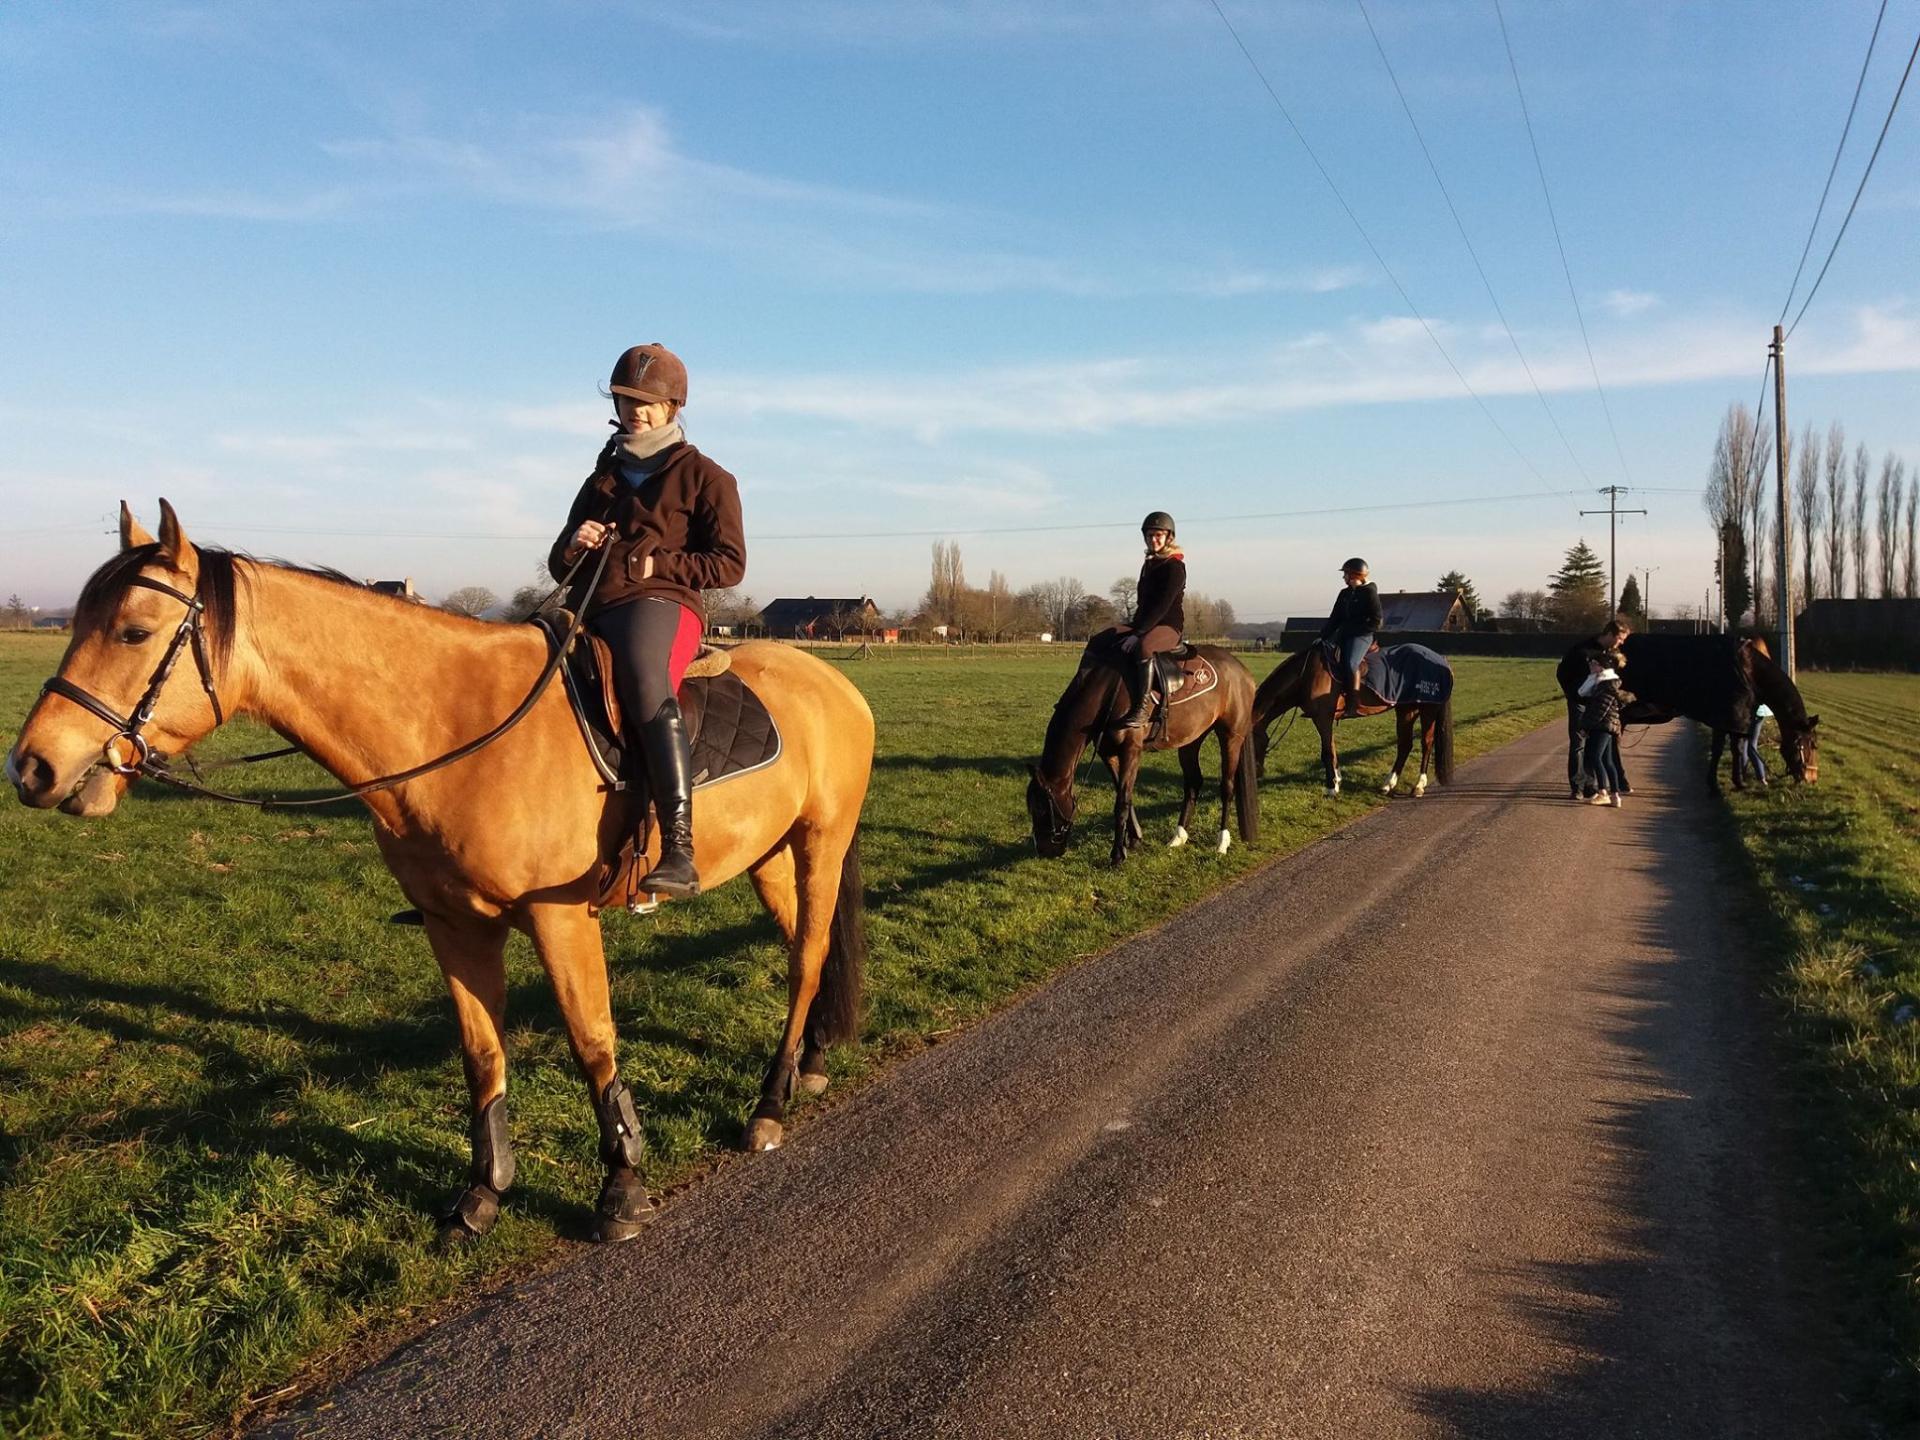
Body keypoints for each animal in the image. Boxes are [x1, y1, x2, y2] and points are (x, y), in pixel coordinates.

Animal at [5, 506, 879, 1251]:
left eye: (134, 630)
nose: (32, 768)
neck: (457, 726)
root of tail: (836, 685)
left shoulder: (562, 920)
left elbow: (593, 1042)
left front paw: (622, 1189)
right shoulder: (456, 926)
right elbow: (482, 1055)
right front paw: (483, 1195)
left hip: (819, 843)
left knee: (804, 962)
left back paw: (768, 1105)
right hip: (771, 858)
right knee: (804, 949)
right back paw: (806, 1066)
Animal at [1021, 645, 1259, 867]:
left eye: (1042, 808)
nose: (1043, 850)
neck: (1107, 694)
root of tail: (1242, 670)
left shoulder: (1131, 750)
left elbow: (1122, 802)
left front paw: (1117, 855)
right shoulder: (1109, 753)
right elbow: (1125, 796)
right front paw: (1134, 840)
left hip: (1231, 736)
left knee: (1227, 787)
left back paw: (1221, 843)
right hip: (1191, 739)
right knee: (1193, 783)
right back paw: (1178, 837)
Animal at [1244, 645, 1451, 802]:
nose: (1256, 772)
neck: (1305, 675)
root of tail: (1440, 660)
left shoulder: (1322, 718)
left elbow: (1327, 753)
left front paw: (1330, 788)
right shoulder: (1324, 719)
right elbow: (1332, 750)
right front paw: (1336, 781)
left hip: (1428, 710)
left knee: (1426, 743)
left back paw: (1418, 786)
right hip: (1406, 710)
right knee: (1405, 745)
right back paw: (1388, 784)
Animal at [1551, 629, 1820, 791]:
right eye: (1810, 745)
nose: (1811, 778)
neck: (1748, 670)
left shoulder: (1728, 720)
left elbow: (1731, 748)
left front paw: (1733, 782)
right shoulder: (1727, 716)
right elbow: (1725, 749)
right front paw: (1721, 785)